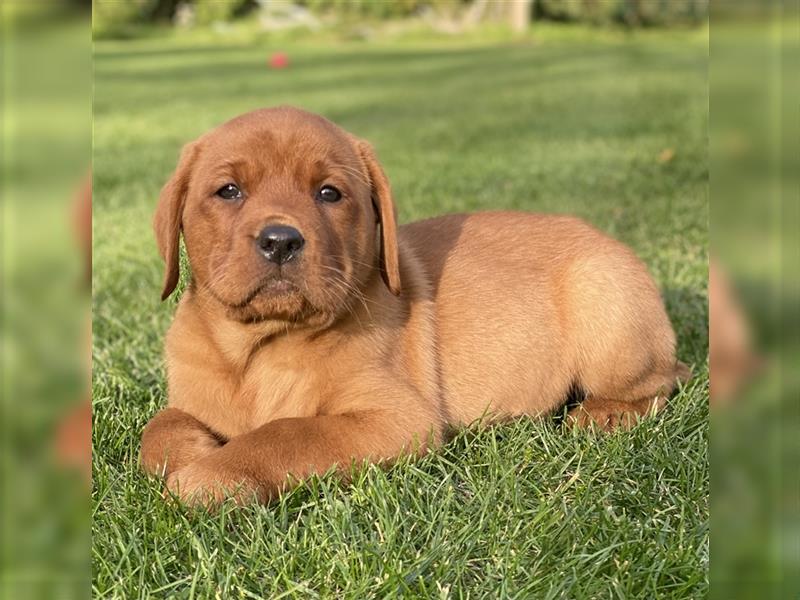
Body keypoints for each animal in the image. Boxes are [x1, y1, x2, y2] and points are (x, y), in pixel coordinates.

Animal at [139, 106, 688, 506]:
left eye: (329, 193)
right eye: (229, 190)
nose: (280, 241)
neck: (260, 347)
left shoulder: (394, 418)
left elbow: (288, 434)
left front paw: (210, 476)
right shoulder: (190, 397)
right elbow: (158, 428)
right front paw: (188, 453)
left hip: (608, 309)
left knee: (665, 382)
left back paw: (606, 415)